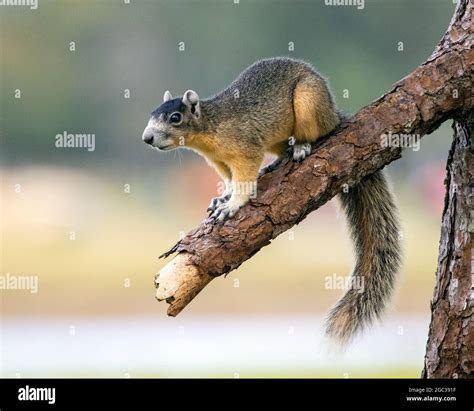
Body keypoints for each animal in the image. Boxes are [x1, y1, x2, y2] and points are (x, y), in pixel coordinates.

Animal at [143, 55, 400, 344]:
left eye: (175, 117)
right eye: (152, 114)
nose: (146, 138)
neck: (210, 129)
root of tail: (334, 113)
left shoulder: (245, 149)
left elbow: (244, 180)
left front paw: (232, 205)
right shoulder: (219, 162)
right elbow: (229, 180)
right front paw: (223, 198)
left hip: (309, 102)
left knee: (317, 134)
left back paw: (302, 147)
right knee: (283, 149)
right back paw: (277, 162)